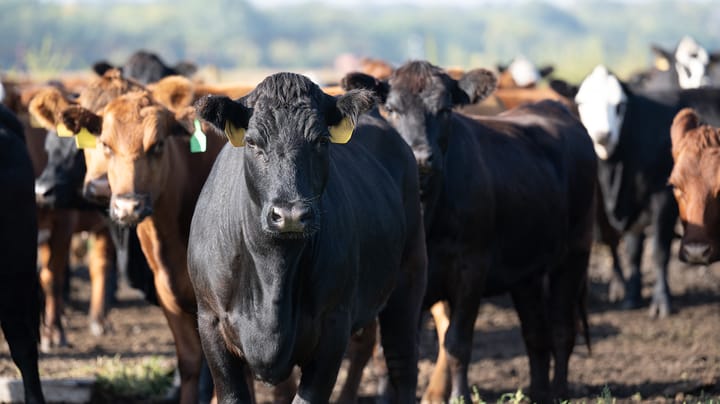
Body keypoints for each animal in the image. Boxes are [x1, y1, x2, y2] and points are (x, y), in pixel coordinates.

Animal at [188, 72, 427, 404]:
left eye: (321, 141)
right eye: (252, 142)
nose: (290, 214)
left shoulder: (333, 326)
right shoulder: (210, 323)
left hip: (408, 280)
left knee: (402, 363)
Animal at [342, 60, 596, 403]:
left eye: (446, 109)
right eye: (391, 108)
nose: (420, 157)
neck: (429, 213)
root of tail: (552, 106)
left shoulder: (471, 270)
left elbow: (456, 343)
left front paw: (459, 396)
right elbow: (389, 350)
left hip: (575, 252)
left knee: (561, 328)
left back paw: (559, 391)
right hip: (527, 272)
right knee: (535, 333)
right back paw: (539, 392)